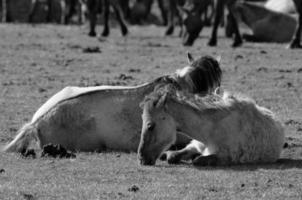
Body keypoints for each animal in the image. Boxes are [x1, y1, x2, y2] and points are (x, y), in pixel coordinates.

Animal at [138, 86, 284, 166]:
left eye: (150, 126)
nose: (141, 159)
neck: (210, 131)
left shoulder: (225, 156)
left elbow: (198, 160)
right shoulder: (195, 145)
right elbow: (173, 156)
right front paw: (169, 155)